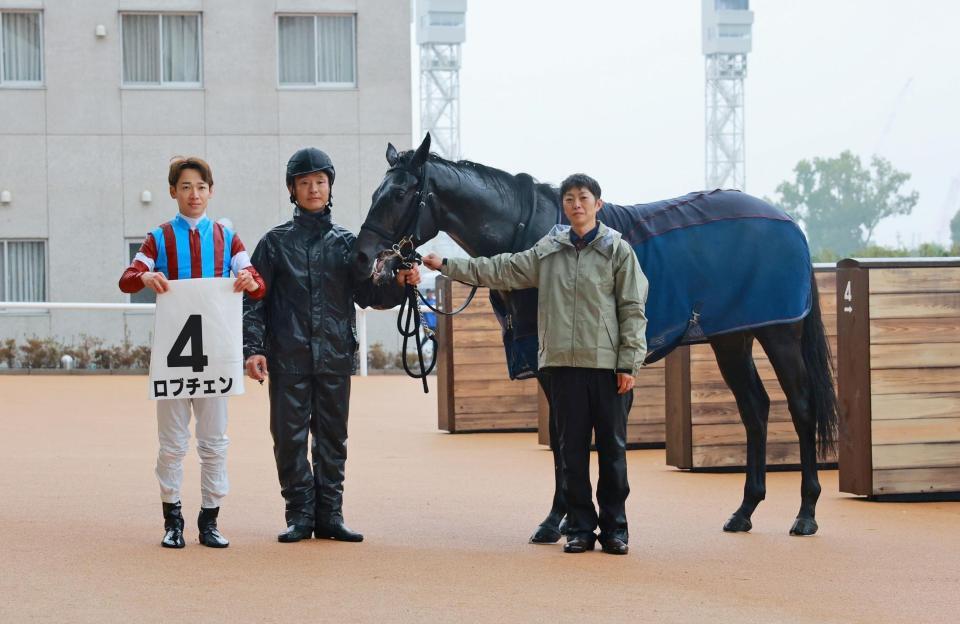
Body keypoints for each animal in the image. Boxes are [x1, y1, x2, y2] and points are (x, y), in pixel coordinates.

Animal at [352, 134, 838, 538]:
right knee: (755, 408)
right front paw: (563, 520)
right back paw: (744, 511)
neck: (534, 236)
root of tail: (790, 223)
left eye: (399, 194)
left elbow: (577, 435)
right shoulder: (550, 367)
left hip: (780, 334)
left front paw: (561, 521)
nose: (363, 256)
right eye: (374, 192)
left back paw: (806, 513)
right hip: (732, 339)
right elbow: (562, 438)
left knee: (801, 406)